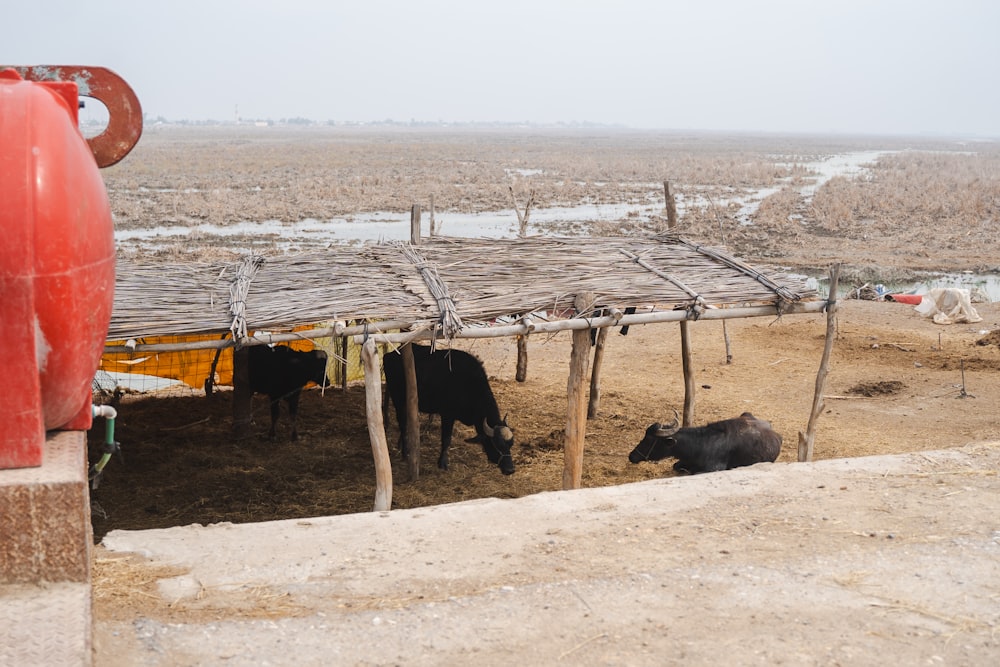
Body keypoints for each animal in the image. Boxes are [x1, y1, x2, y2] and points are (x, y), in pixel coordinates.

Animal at [382, 344, 516, 474]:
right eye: (496, 444)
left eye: (511, 444)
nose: (510, 469)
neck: (468, 385)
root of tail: (389, 355)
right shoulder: (447, 415)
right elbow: (446, 439)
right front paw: (443, 463)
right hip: (398, 400)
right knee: (402, 424)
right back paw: (405, 453)